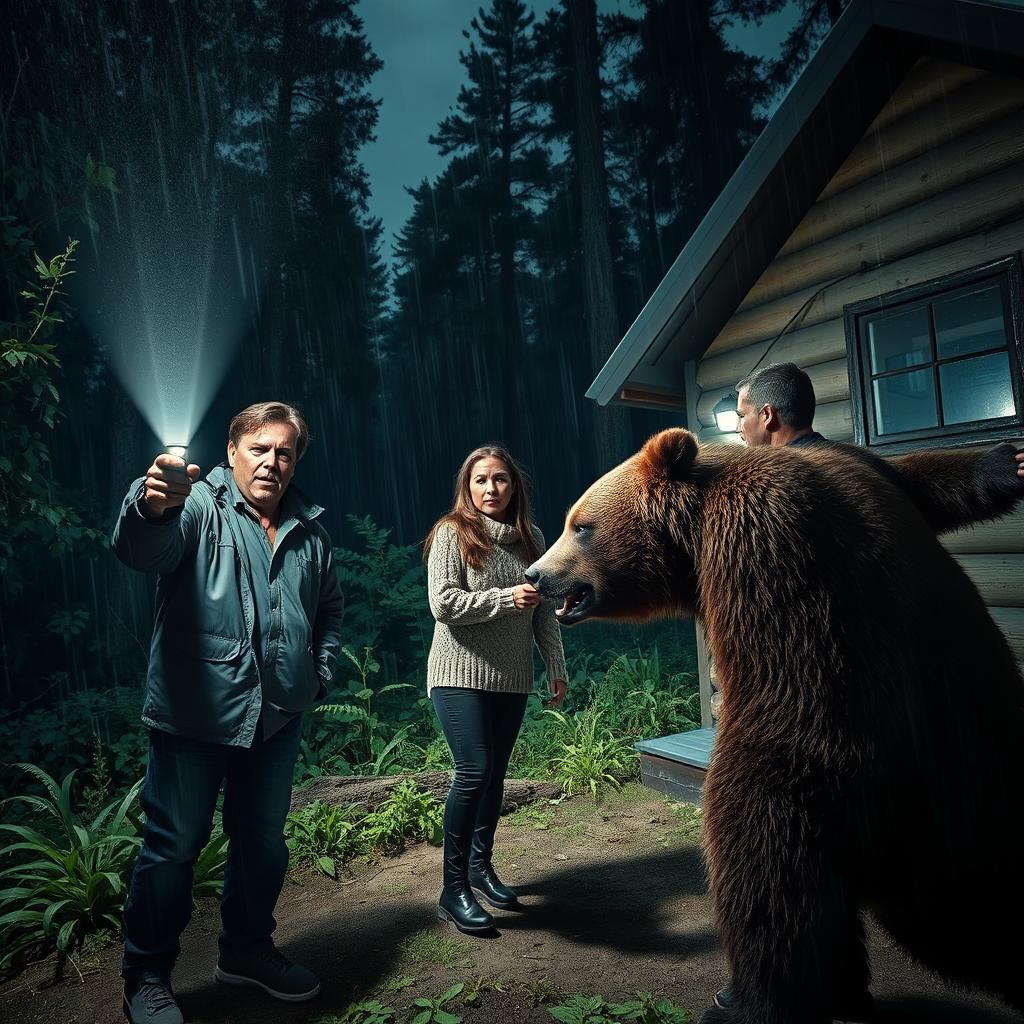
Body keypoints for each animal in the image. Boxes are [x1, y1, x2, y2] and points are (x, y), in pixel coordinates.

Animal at [528, 428, 1024, 1019]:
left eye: (580, 526)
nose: (536, 574)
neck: (695, 536)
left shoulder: (772, 560)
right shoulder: (859, 471)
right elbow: (916, 476)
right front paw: (1005, 462)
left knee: (766, 850)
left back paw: (746, 999)